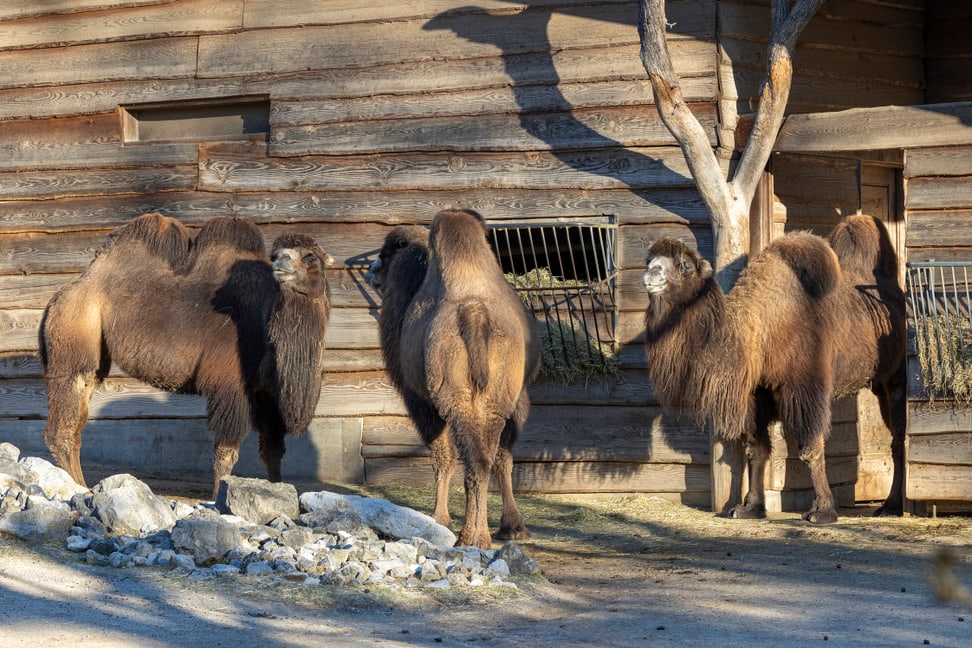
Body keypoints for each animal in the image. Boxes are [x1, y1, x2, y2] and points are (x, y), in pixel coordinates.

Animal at [39, 213, 334, 496]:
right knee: (62, 427)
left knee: (77, 423)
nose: (281, 261)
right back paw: (80, 489)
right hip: (72, 337)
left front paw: (278, 488)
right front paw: (219, 496)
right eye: (275, 255)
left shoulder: (267, 395)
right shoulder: (231, 386)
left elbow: (273, 450)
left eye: (311, 257)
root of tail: (65, 292)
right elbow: (226, 453)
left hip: (95, 360)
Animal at [370, 211, 544, 548]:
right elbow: (500, 457)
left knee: (471, 459)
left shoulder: (418, 400)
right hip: (498, 402)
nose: (374, 272)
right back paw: (499, 530)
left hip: (455, 402)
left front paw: (439, 519)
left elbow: (442, 457)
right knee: (491, 458)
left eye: (386, 253)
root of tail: (474, 313)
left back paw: (469, 536)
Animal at [640, 215, 908, 524]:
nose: (651, 275)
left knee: (899, 437)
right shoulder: (755, 395)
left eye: (684, 265)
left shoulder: (805, 388)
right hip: (879, 384)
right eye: (649, 260)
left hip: (895, 379)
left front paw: (822, 511)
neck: (759, 331)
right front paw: (748, 508)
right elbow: (756, 450)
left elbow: (810, 449)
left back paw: (891, 505)